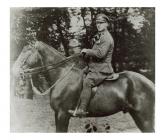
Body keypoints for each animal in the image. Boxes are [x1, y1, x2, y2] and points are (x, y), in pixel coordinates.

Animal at [12, 41, 155, 132]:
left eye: (26, 52)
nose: (13, 71)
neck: (61, 75)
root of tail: (150, 83)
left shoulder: (62, 115)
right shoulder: (58, 115)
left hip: (144, 118)